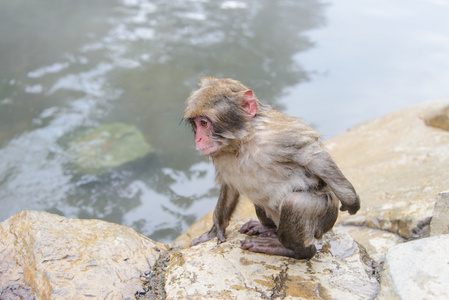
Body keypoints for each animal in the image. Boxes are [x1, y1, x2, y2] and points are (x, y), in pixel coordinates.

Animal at [182, 77, 360, 258]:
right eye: (195, 125)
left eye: (204, 123)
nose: (198, 139)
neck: (242, 142)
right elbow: (229, 186)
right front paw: (216, 227)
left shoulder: (276, 137)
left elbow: (312, 154)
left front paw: (350, 199)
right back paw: (269, 229)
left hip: (325, 219)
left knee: (295, 203)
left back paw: (294, 250)